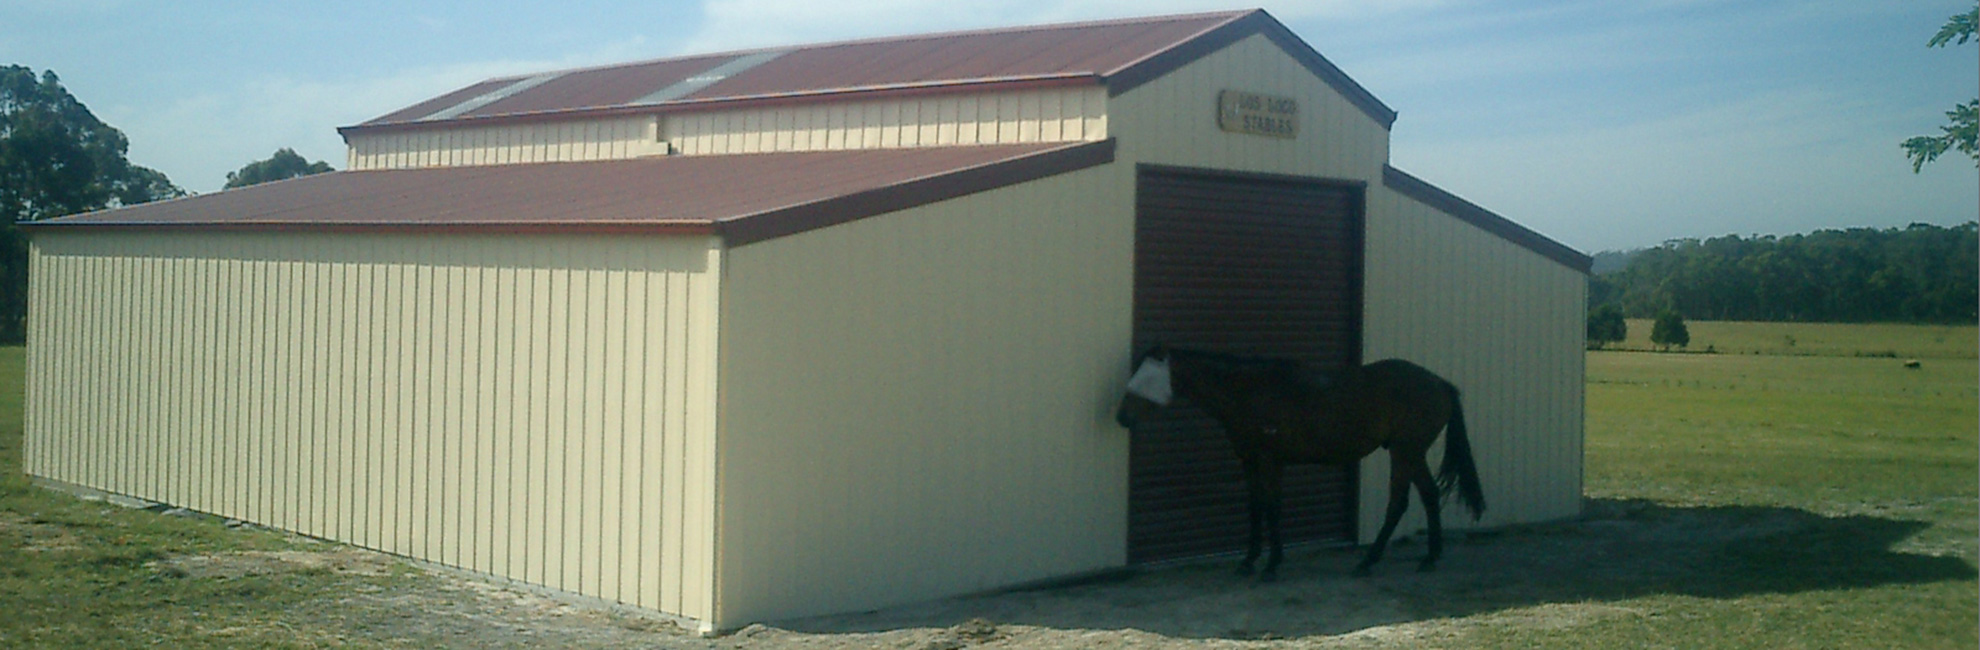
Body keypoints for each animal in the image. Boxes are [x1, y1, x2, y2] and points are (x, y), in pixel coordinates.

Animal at [1116, 344, 1488, 578]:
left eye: (1144, 378)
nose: (1121, 417)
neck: (1248, 392)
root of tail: (1440, 383)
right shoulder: (1250, 461)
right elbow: (1256, 508)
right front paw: (1249, 561)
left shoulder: (1269, 460)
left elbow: (1271, 508)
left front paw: (1271, 565)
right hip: (1412, 452)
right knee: (1429, 495)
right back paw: (1430, 557)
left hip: (1404, 451)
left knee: (1398, 502)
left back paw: (1368, 562)